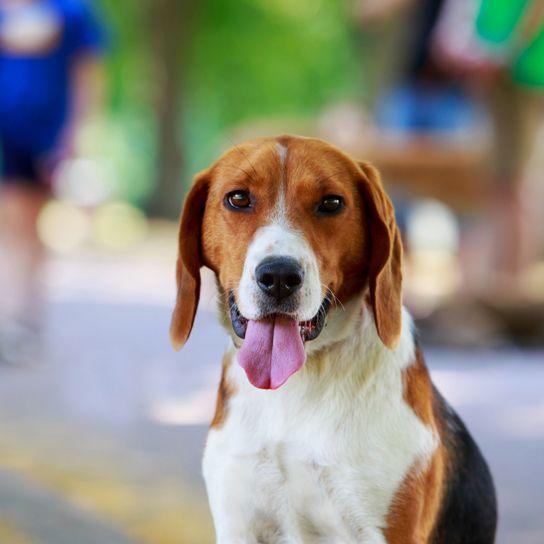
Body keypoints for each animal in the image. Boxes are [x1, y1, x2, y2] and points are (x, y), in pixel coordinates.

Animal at [170, 136, 498, 544]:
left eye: (331, 203)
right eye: (239, 198)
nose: (279, 276)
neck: (297, 384)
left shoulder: (382, 531)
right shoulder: (238, 523)